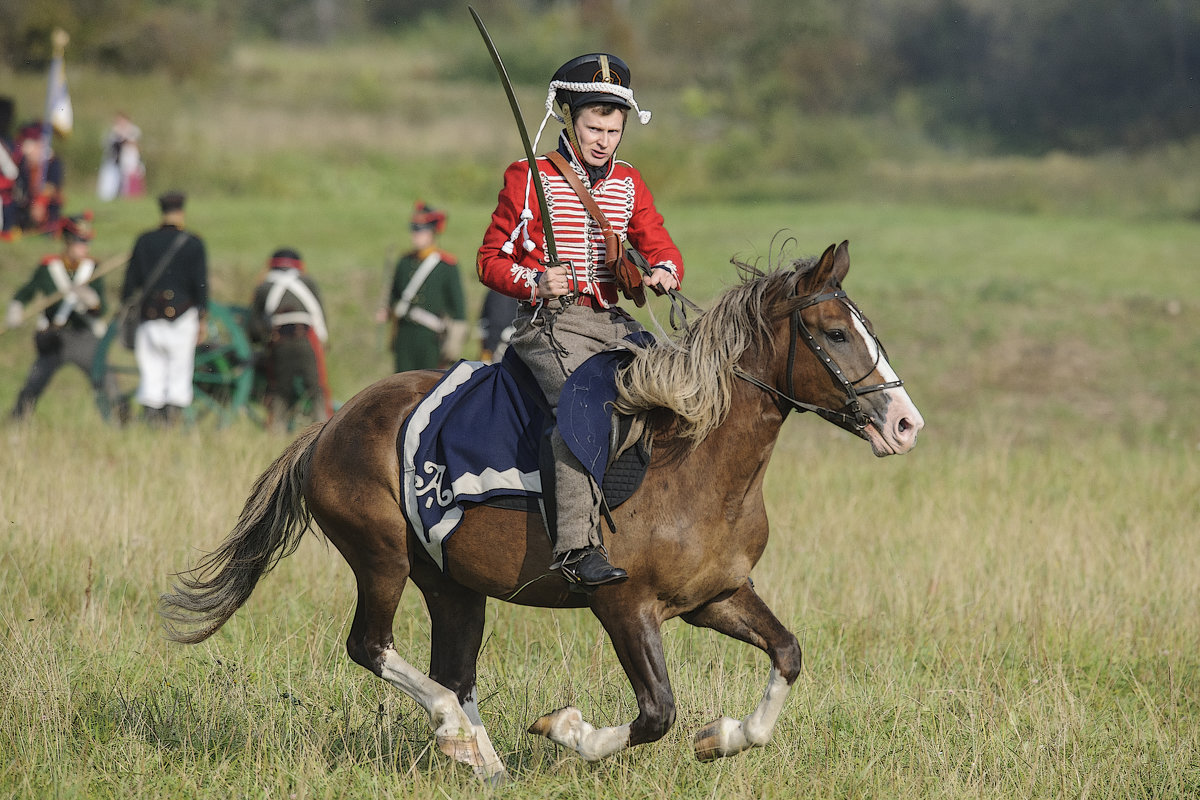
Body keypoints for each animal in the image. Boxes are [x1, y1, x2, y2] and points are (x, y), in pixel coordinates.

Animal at [159, 242, 921, 782]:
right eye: (833, 332)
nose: (906, 423)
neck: (696, 459)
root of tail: (332, 425)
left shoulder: (717, 597)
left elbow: (786, 656)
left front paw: (723, 738)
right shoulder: (624, 607)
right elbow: (655, 714)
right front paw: (566, 730)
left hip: (454, 587)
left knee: (454, 671)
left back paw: (483, 762)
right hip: (382, 561)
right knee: (375, 649)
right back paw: (456, 736)